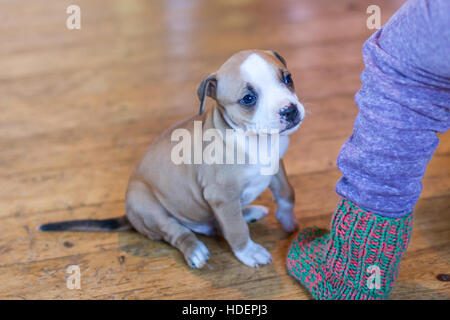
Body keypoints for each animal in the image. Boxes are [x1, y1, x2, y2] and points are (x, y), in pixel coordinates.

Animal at [39, 49, 306, 268]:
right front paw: (249, 252)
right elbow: (236, 230)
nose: (290, 110)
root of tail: (129, 216)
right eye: (248, 98)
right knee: (179, 232)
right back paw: (195, 250)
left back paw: (248, 211)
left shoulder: (277, 168)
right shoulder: (220, 195)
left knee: (219, 223)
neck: (256, 140)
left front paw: (288, 220)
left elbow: (287, 192)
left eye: (287, 78)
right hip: (150, 209)